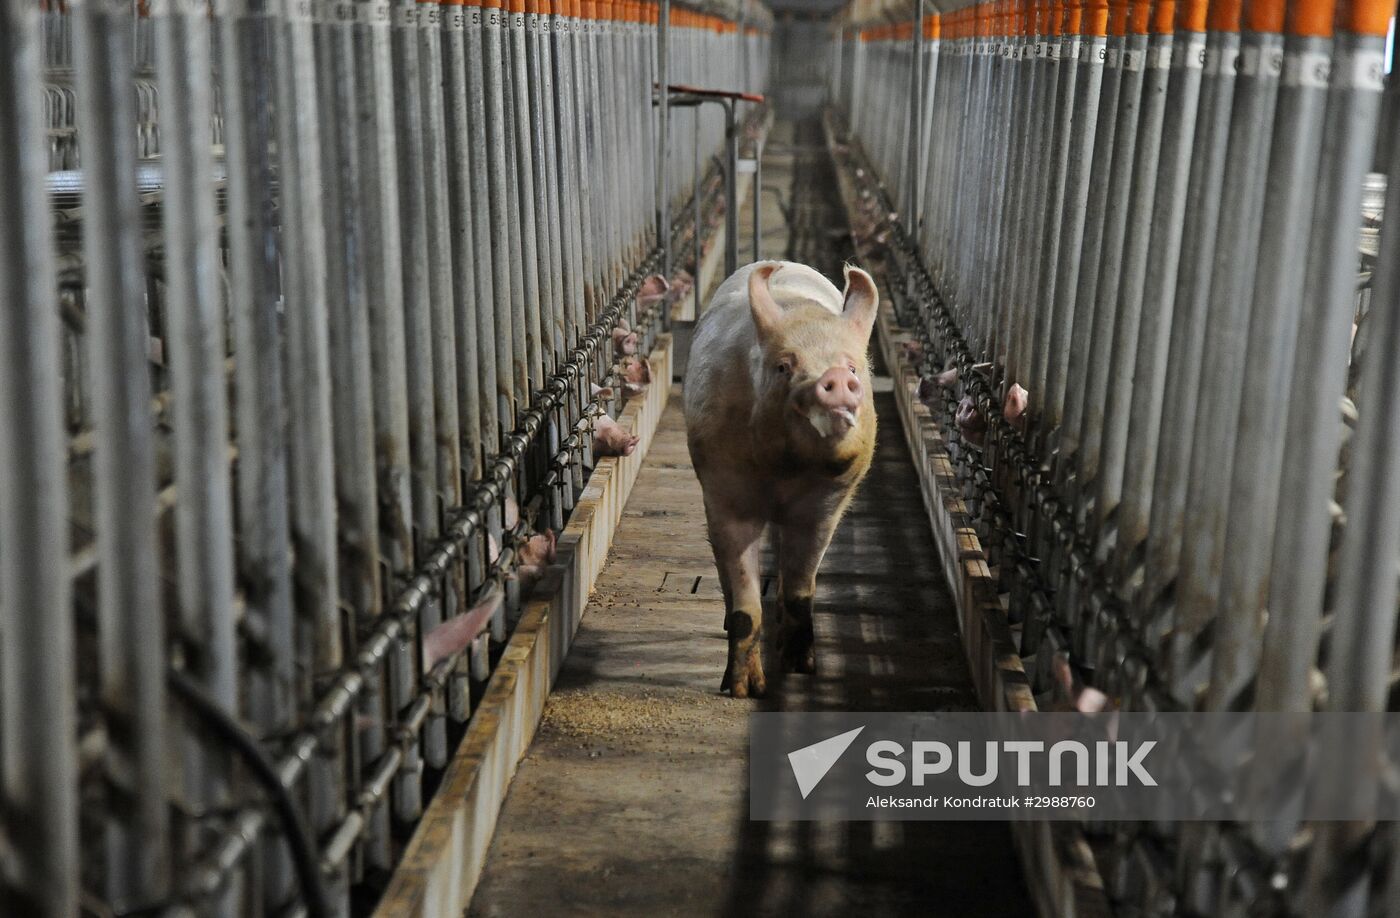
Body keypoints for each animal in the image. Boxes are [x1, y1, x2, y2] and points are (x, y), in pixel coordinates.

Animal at [686, 260, 873, 696]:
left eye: (852, 366)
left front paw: (801, 669)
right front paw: (744, 690)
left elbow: (802, 588)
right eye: (785, 366)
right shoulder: (725, 491)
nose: (838, 378)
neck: (785, 472)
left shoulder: (825, 505)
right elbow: (745, 601)